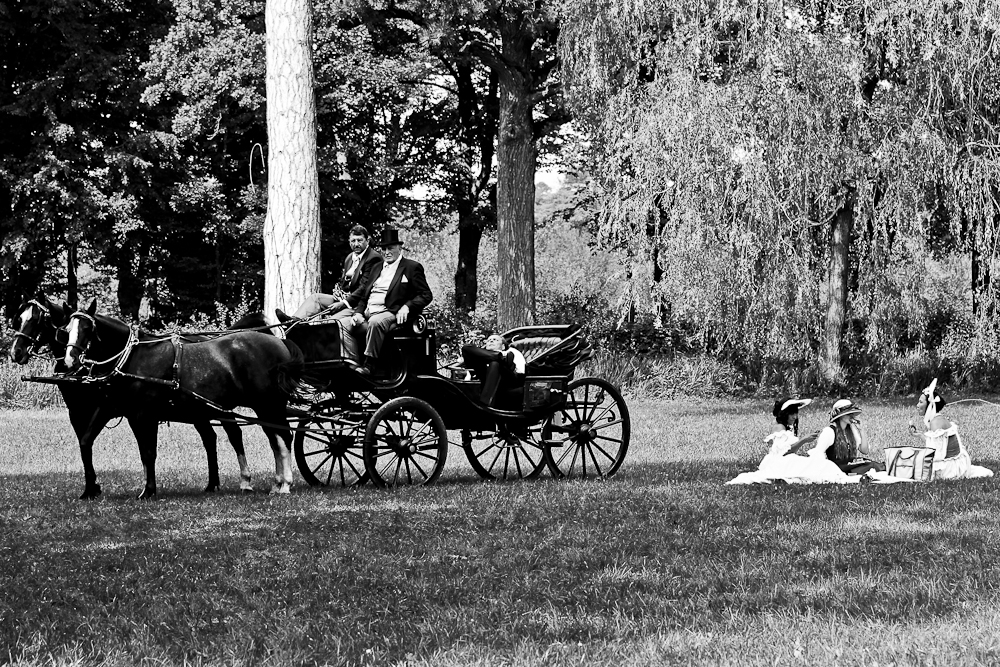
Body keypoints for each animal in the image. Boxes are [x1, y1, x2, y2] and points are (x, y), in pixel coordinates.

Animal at [8, 300, 282, 498]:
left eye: (88, 330)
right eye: (66, 331)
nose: (16, 352)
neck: (129, 359)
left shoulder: (140, 414)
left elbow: (148, 452)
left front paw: (148, 490)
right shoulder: (100, 410)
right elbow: (86, 443)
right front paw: (90, 489)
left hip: (234, 407)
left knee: (240, 435)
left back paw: (248, 482)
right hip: (203, 410)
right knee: (212, 438)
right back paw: (213, 484)